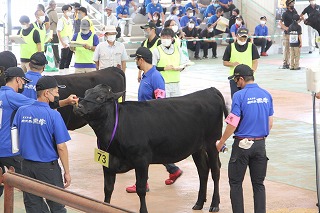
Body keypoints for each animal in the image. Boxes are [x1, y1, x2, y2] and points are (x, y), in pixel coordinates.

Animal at [74, 84, 228, 213]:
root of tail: (210, 90)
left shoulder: (141, 160)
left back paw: (214, 204)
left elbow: (141, 189)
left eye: (100, 97)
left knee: (215, 170)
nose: (78, 106)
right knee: (203, 170)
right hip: (197, 148)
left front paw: (144, 210)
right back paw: (199, 203)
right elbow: (108, 189)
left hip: (212, 143)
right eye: (86, 93)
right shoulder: (108, 163)